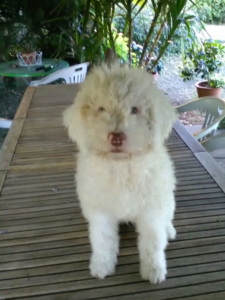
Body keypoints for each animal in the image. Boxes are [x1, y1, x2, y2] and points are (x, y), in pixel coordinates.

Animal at [63, 63, 178, 284]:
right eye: (101, 109)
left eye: (134, 110)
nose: (116, 138)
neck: (122, 166)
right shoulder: (100, 211)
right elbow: (102, 239)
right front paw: (101, 265)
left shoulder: (152, 209)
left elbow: (152, 240)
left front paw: (154, 269)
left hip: (168, 200)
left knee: (167, 218)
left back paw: (169, 230)